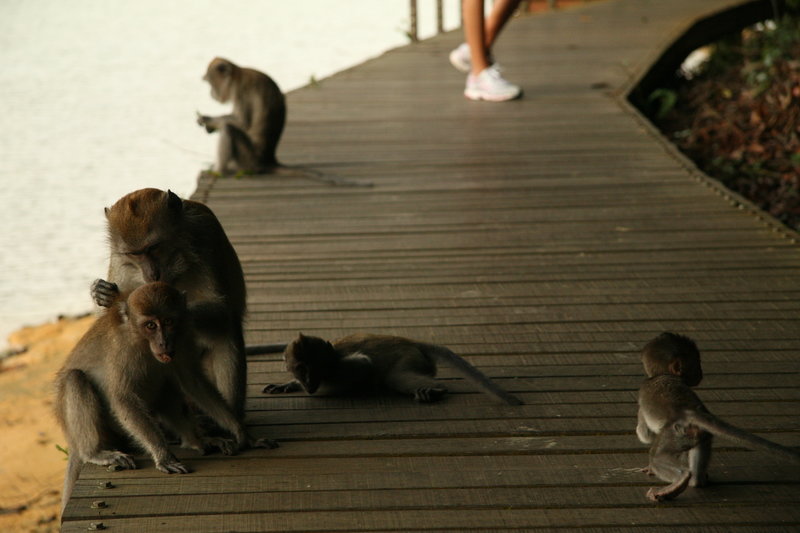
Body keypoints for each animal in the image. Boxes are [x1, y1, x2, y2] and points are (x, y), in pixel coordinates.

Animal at [90, 189, 250, 418]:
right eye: (134, 253)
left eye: (153, 247)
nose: (151, 274)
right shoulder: (120, 261)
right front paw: (102, 293)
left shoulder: (205, 237)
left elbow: (220, 309)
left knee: (226, 329)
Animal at [195, 56, 370, 187]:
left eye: (209, 81)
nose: (211, 93)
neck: (238, 75)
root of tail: (269, 160)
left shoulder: (240, 91)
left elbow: (242, 122)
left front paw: (209, 120)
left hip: (249, 159)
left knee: (229, 129)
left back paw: (219, 171)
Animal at [262, 330, 524, 406]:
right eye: (300, 369)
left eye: (314, 369)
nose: (308, 383)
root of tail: (412, 342)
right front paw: (289, 384)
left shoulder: (339, 367)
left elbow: (365, 365)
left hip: (408, 357)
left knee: (397, 377)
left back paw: (435, 389)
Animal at [636, 330, 800, 500]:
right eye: (696, 364)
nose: (701, 374)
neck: (662, 374)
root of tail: (689, 411)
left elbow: (645, 434)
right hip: (697, 433)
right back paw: (696, 481)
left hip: (675, 432)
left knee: (657, 456)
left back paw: (679, 480)